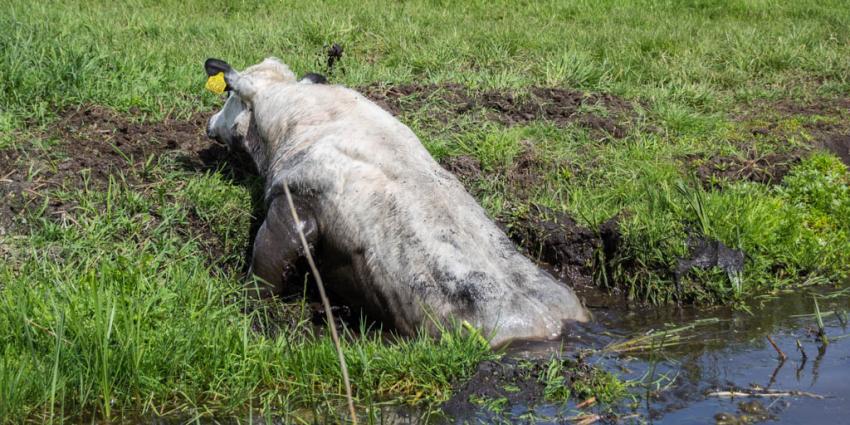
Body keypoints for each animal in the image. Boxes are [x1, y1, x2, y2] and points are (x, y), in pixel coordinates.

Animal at [204, 57, 588, 348]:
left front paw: (248, 302)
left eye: (229, 94)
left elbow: (269, 259)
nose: (209, 123)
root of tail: (547, 324)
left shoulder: (294, 196)